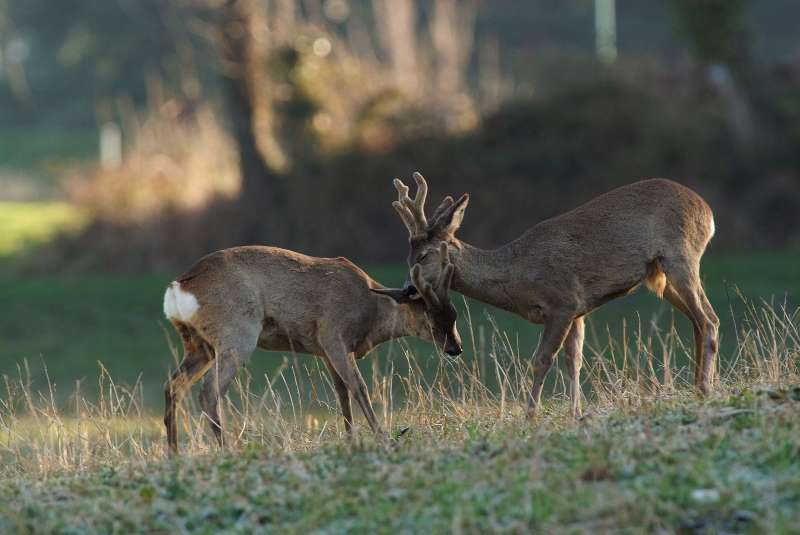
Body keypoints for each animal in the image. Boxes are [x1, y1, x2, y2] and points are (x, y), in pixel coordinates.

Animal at [162, 246, 460, 452]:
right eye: (430, 314)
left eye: (454, 312)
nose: (455, 347)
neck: (372, 311)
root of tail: (178, 286)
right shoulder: (333, 333)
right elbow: (358, 386)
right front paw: (383, 439)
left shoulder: (325, 350)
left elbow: (342, 393)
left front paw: (350, 439)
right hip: (236, 333)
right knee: (208, 391)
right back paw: (230, 450)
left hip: (198, 345)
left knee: (173, 386)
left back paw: (174, 455)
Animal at [390, 173, 720, 418]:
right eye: (408, 257)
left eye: (424, 255)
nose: (407, 289)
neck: (518, 275)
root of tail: (708, 212)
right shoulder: (578, 311)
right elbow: (574, 361)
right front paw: (575, 413)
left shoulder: (562, 302)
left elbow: (542, 359)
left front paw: (530, 416)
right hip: (661, 277)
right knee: (699, 321)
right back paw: (699, 385)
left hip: (681, 256)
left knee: (709, 320)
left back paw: (705, 389)